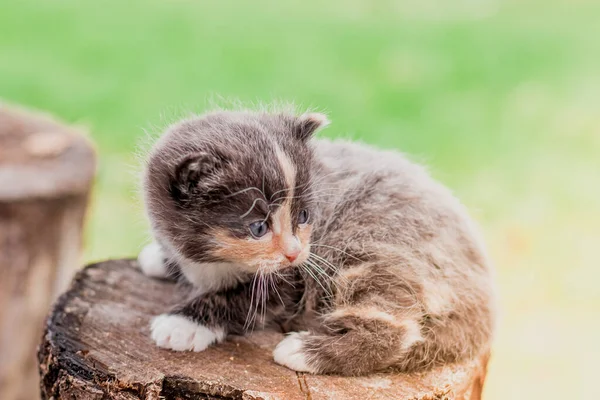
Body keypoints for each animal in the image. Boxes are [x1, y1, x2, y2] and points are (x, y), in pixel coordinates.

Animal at [139, 108, 496, 376]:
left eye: (304, 216)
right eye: (258, 227)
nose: (294, 252)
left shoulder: (293, 279)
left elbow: (244, 298)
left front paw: (184, 323)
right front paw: (160, 259)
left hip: (381, 249)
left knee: (396, 327)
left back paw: (303, 351)